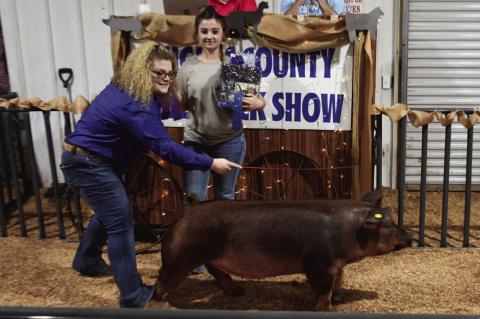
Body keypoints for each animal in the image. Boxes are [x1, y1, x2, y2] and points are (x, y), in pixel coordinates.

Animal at [154, 191, 412, 312]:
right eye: (388, 224)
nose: (409, 237)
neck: (348, 230)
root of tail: (190, 208)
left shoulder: (336, 266)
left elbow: (339, 281)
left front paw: (339, 298)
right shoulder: (318, 264)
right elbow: (322, 291)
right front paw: (327, 308)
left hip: (210, 257)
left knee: (216, 271)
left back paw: (238, 292)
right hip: (179, 256)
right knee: (162, 279)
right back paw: (160, 302)